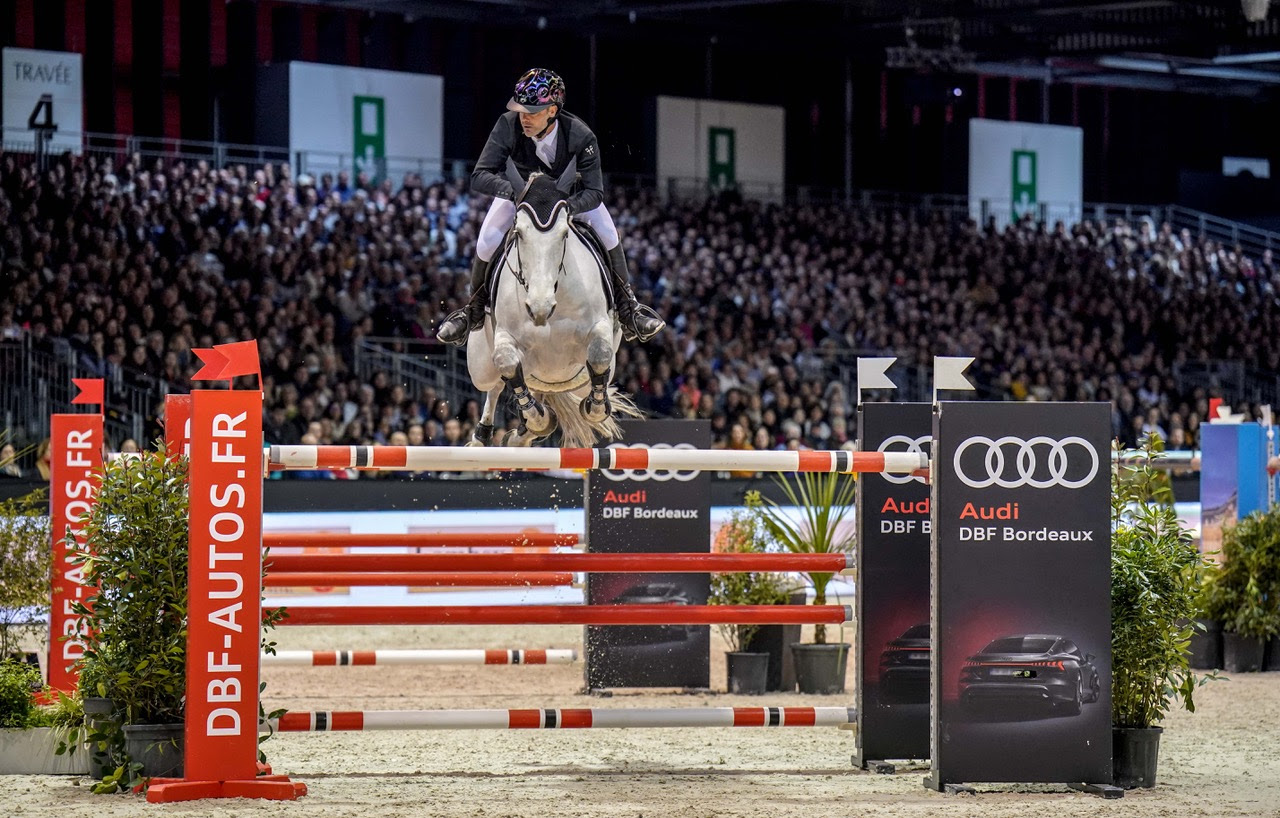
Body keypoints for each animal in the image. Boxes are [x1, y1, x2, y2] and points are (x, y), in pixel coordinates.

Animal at [465, 175, 641, 448]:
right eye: (518, 233)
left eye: (564, 234)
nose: (539, 308)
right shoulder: (505, 337)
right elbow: (507, 363)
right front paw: (538, 419)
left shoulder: (598, 329)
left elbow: (599, 355)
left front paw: (594, 408)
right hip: (481, 367)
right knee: (495, 384)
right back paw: (484, 437)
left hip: (576, 381)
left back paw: (522, 434)